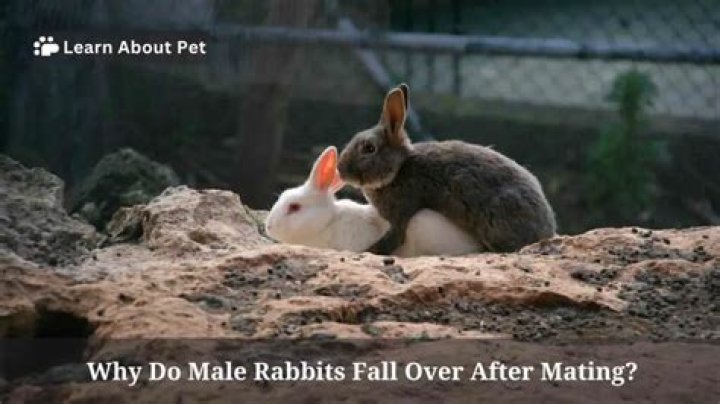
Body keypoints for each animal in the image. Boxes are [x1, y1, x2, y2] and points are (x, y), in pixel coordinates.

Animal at [337, 83, 557, 255]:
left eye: (369, 148)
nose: (340, 169)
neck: (398, 169)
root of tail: (546, 228)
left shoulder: (402, 212)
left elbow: (392, 239)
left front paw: (366, 251)